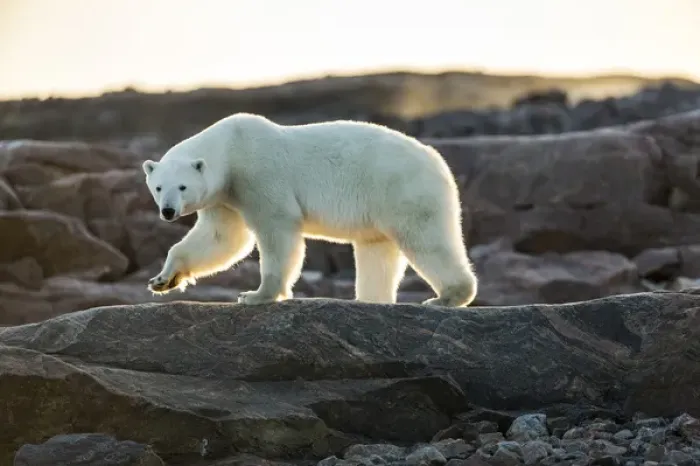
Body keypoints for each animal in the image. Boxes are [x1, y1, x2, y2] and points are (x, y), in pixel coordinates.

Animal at [142, 112, 478, 307]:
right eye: (158, 187)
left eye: (182, 187)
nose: (168, 211)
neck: (231, 149)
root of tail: (437, 161)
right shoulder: (226, 197)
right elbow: (221, 238)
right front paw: (162, 280)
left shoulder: (258, 175)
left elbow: (277, 228)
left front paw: (256, 295)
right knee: (377, 250)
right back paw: (371, 299)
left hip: (402, 189)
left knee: (425, 239)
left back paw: (446, 297)